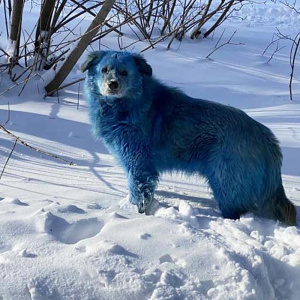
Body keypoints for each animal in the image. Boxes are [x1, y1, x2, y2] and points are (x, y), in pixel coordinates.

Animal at [81, 51, 296, 225]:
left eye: (124, 72)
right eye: (104, 70)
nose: (112, 84)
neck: (130, 104)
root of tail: (267, 138)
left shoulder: (138, 164)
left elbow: (139, 192)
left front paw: (135, 215)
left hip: (225, 184)